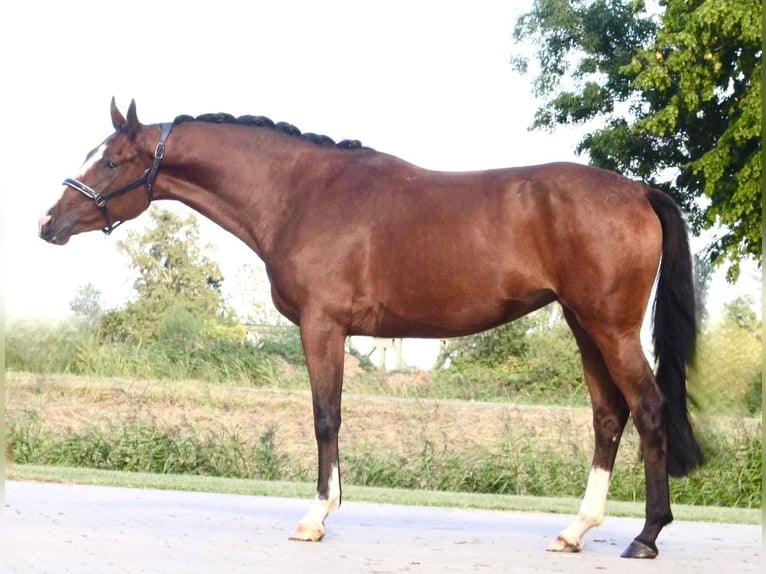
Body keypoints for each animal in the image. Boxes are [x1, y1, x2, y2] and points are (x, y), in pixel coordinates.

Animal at [39, 99, 703, 559]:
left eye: (112, 159)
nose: (50, 222)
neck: (300, 194)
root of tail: (638, 190)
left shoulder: (322, 327)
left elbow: (325, 417)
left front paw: (316, 518)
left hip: (611, 328)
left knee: (647, 408)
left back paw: (645, 536)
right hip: (583, 325)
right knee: (608, 417)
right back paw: (574, 531)